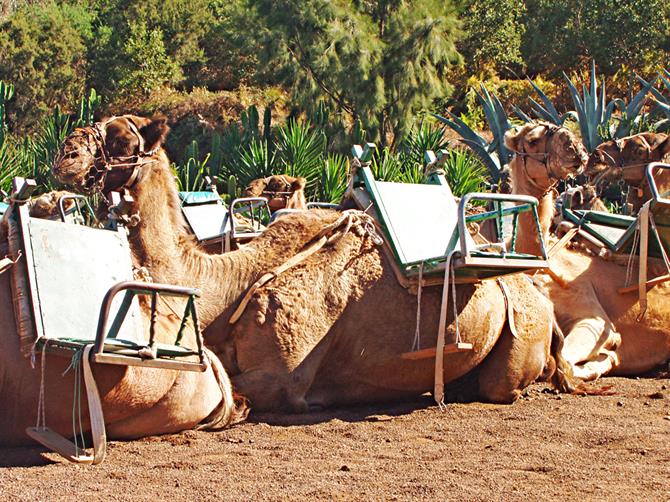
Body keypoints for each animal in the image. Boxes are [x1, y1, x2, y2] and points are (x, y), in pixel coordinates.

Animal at [51, 116, 576, 412]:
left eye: (120, 139)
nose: (65, 156)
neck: (230, 284)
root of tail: (540, 295)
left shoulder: (282, 379)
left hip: (517, 343)